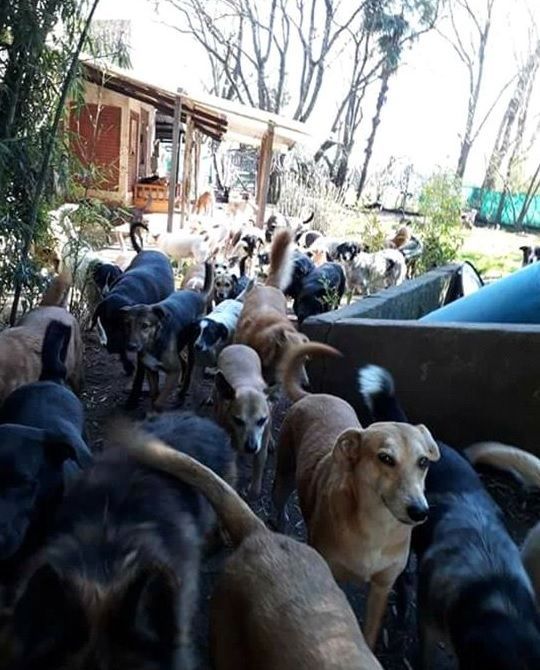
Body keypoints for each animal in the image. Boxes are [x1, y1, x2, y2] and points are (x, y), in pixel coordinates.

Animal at [91, 226, 174, 378]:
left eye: (123, 325)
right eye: (104, 323)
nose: (111, 348)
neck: (125, 291)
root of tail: (146, 250)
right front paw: (127, 365)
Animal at [121, 263, 213, 409]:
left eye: (145, 326)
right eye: (127, 324)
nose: (131, 346)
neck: (153, 343)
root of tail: (199, 295)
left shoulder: (173, 373)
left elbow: (159, 400)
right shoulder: (151, 370)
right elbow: (154, 394)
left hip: (192, 348)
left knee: (189, 371)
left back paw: (181, 395)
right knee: (184, 363)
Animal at [214, 344, 272, 499]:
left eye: (262, 420)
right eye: (238, 420)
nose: (251, 447)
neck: (247, 386)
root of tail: (238, 345)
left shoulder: (264, 435)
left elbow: (260, 460)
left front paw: (254, 490)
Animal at [273, 343, 440, 649]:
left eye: (423, 461)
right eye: (385, 458)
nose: (419, 512)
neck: (377, 529)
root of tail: (314, 396)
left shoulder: (382, 587)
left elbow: (371, 631)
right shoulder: (330, 573)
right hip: (285, 472)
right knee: (276, 498)